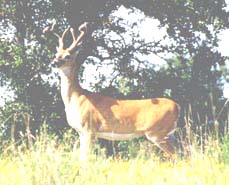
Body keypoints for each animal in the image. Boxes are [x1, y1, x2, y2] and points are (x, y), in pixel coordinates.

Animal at [43, 21, 181, 160]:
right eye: (56, 55)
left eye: (68, 56)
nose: (54, 63)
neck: (76, 98)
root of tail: (177, 106)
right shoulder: (81, 132)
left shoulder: (89, 129)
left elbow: (85, 158)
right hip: (169, 133)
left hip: (157, 132)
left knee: (177, 155)